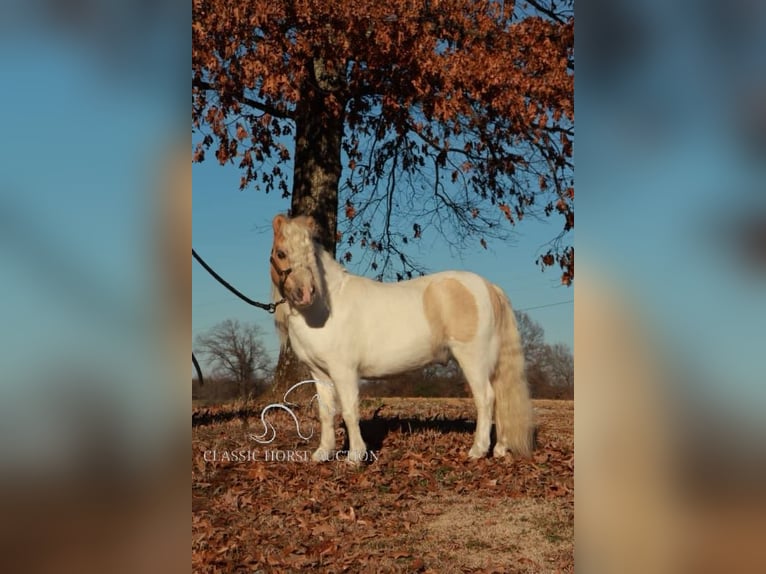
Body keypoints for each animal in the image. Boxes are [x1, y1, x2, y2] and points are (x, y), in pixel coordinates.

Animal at [270, 215, 536, 464]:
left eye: (310, 254)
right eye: (281, 253)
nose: (305, 293)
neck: (325, 308)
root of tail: (489, 286)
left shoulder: (343, 371)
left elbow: (349, 411)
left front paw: (355, 457)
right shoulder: (320, 373)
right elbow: (326, 412)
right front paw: (323, 454)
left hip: (473, 360)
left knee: (486, 398)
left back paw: (477, 451)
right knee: (500, 399)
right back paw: (500, 449)